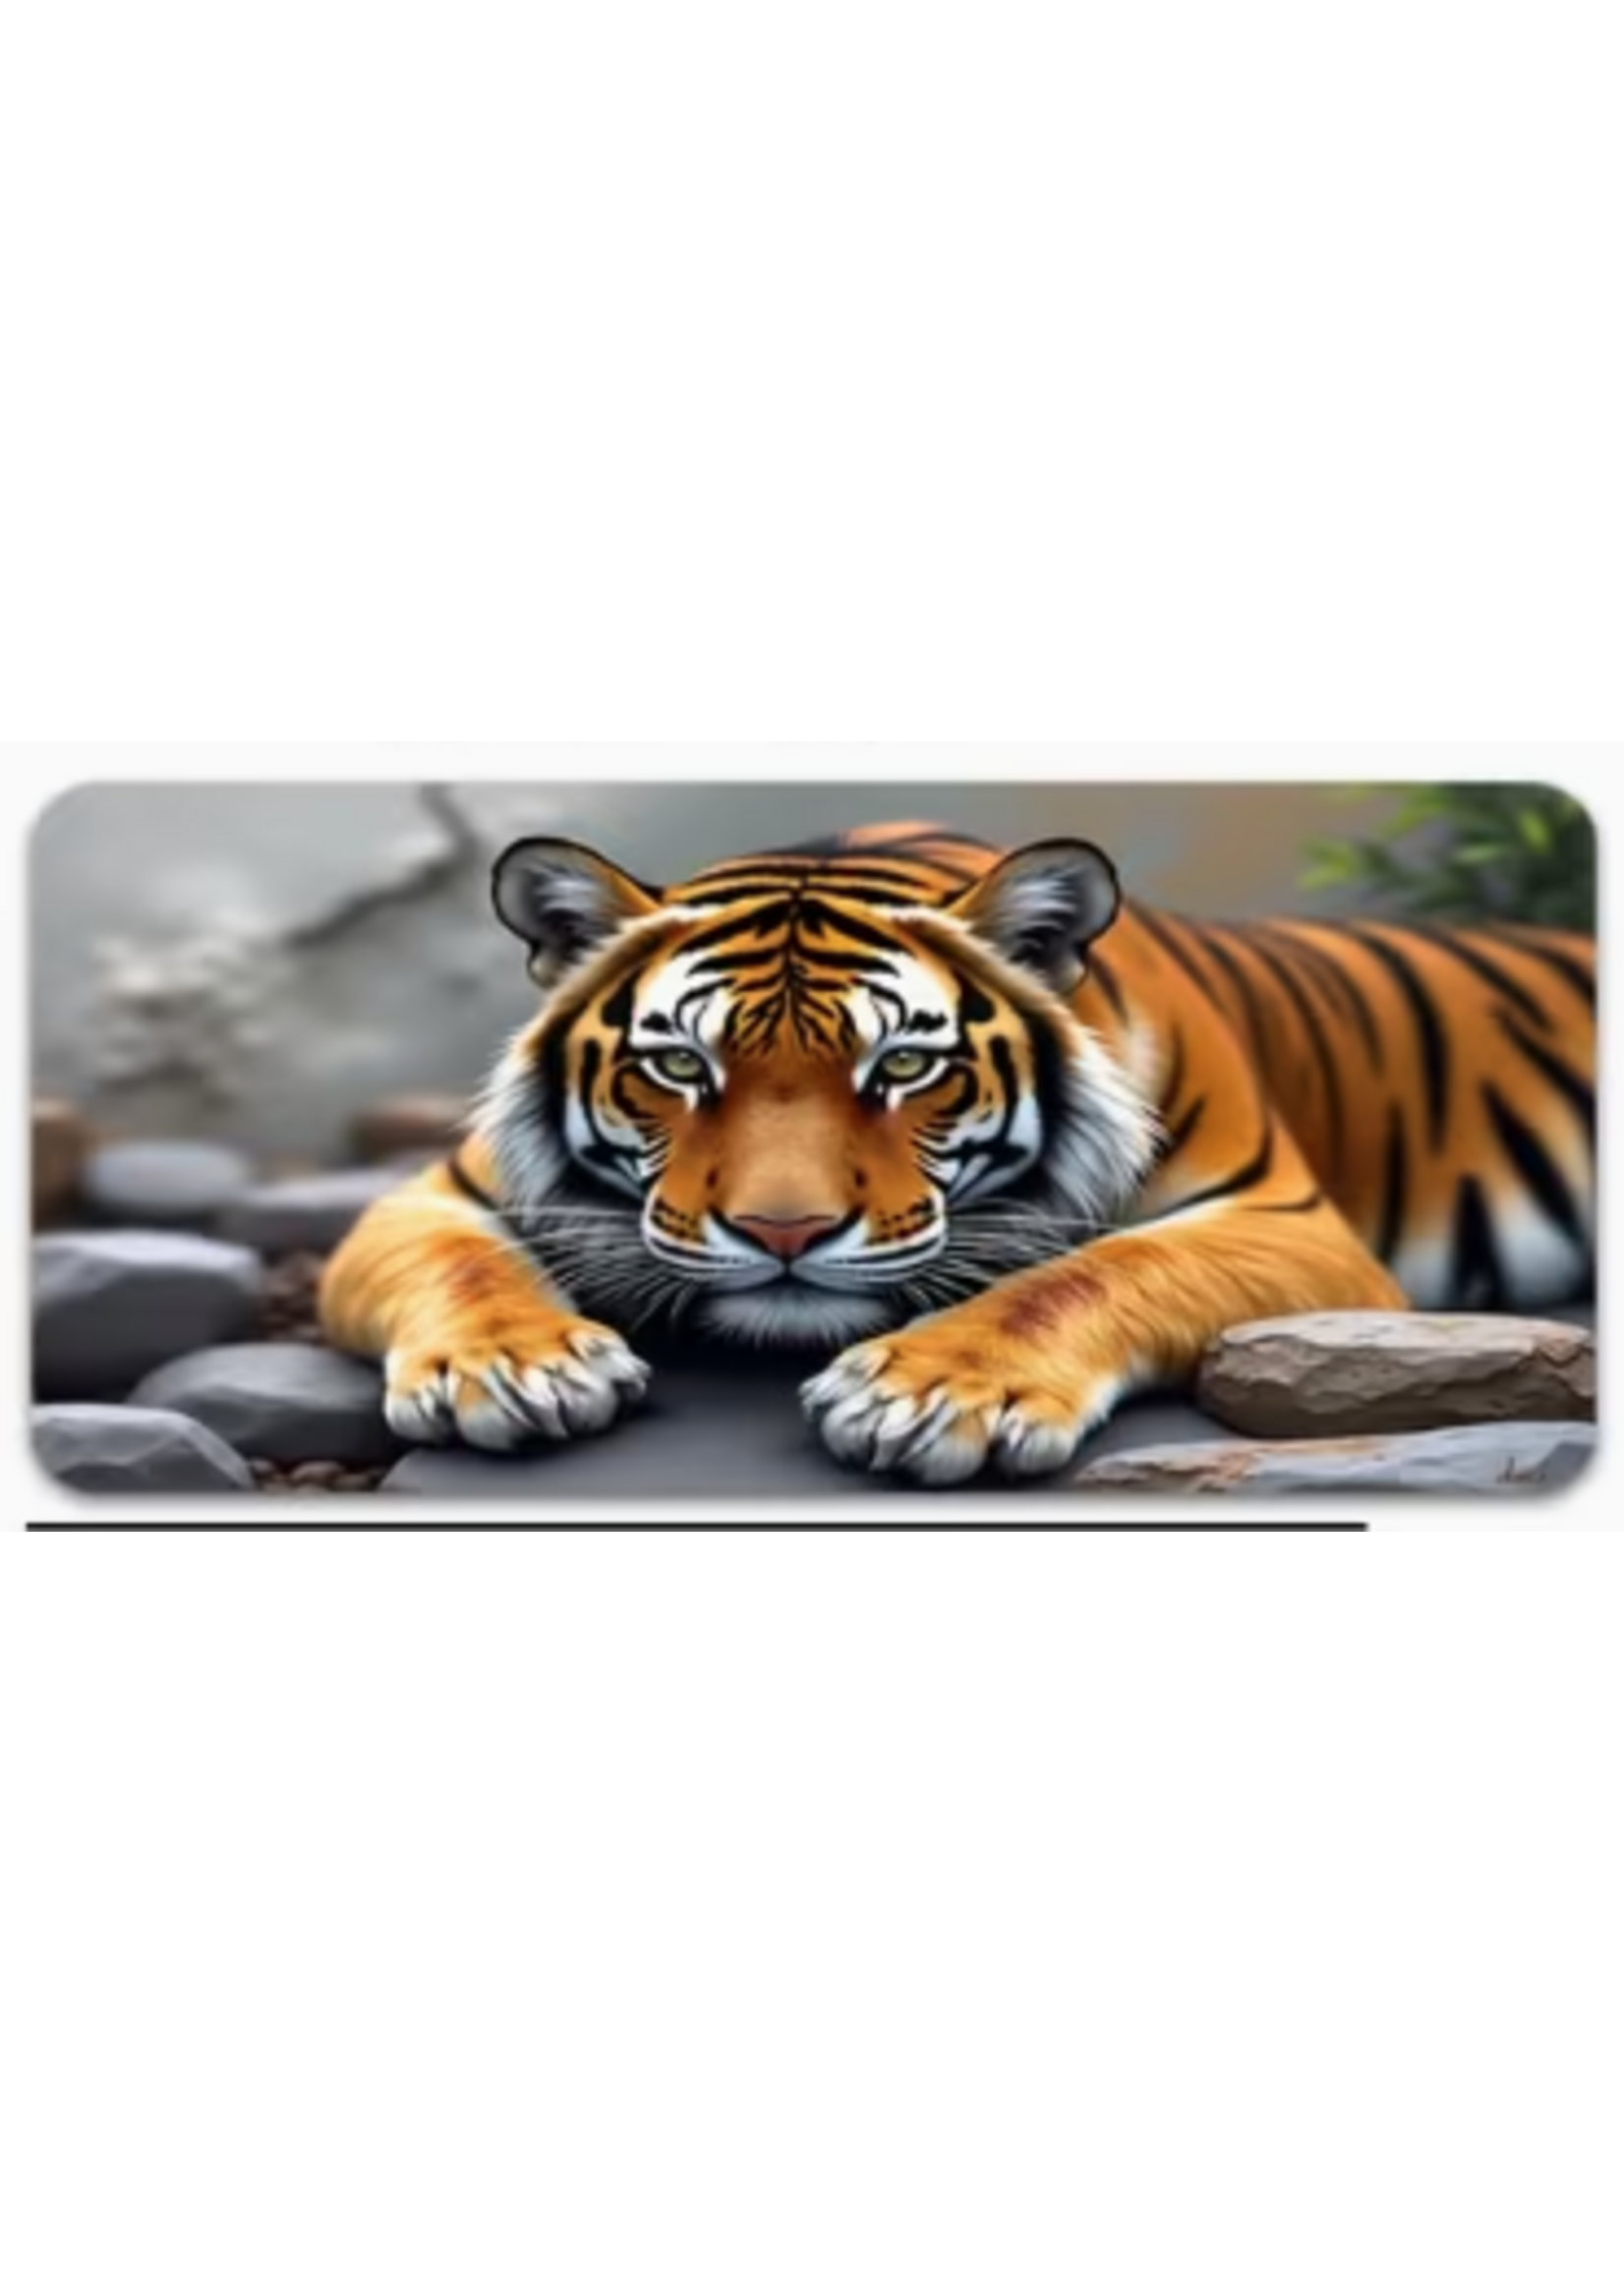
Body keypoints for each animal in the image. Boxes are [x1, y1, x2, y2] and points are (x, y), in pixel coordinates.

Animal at [318, 821, 1598, 1484]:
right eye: (680, 1066)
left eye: (900, 1068)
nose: (783, 1233)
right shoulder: (436, 1194)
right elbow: (462, 1266)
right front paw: (512, 1370)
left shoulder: (1284, 1219)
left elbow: (1098, 1269)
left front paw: (924, 1397)